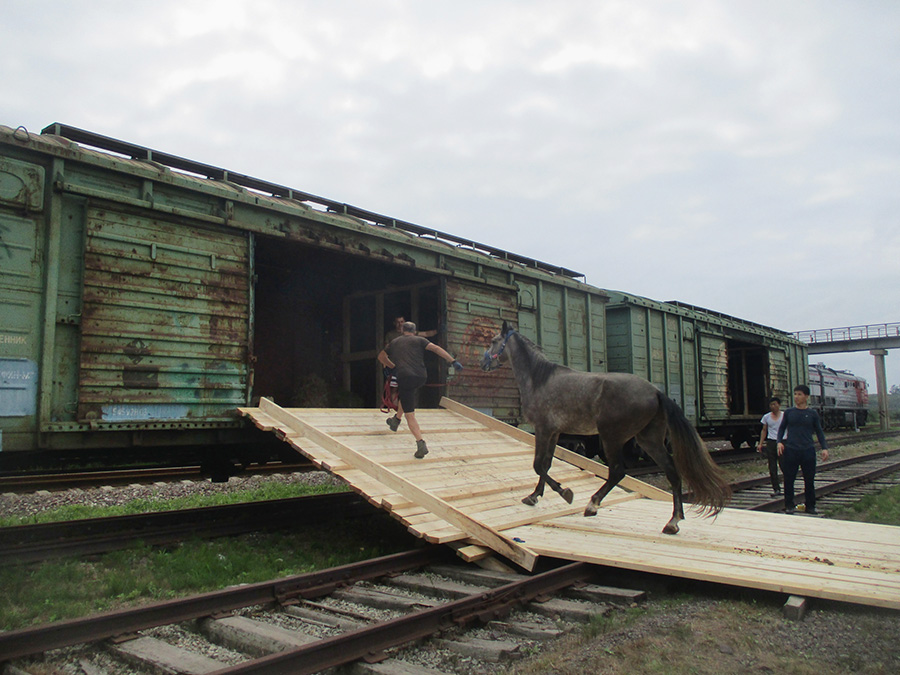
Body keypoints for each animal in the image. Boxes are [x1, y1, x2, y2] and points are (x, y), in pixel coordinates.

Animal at [482, 320, 728, 536]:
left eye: (494, 341)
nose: (483, 363)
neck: (539, 379)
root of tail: (655, 392)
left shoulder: (543, 430)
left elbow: (538, 465)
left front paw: (565, 493)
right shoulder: (554, 432)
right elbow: (546, 464)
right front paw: (534, 496)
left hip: (612, 438)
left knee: (617, 471)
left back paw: (592, 505)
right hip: (648, 440)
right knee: (672, 472)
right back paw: (673, 522)